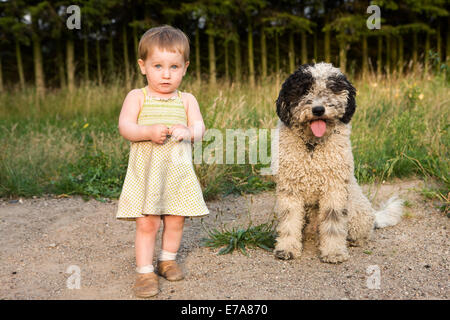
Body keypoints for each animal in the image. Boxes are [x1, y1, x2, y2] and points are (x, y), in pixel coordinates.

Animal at [274, 62, 404, 262]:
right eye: (304, 89)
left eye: (332, 88)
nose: (318, 110)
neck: (313, 147)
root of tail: (374, 216)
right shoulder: (290, 189)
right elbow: (289, 222)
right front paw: (287, 248)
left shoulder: (333, 189)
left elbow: (333, 223)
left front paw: (333, 252)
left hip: (357, 213)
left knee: (361, 233)